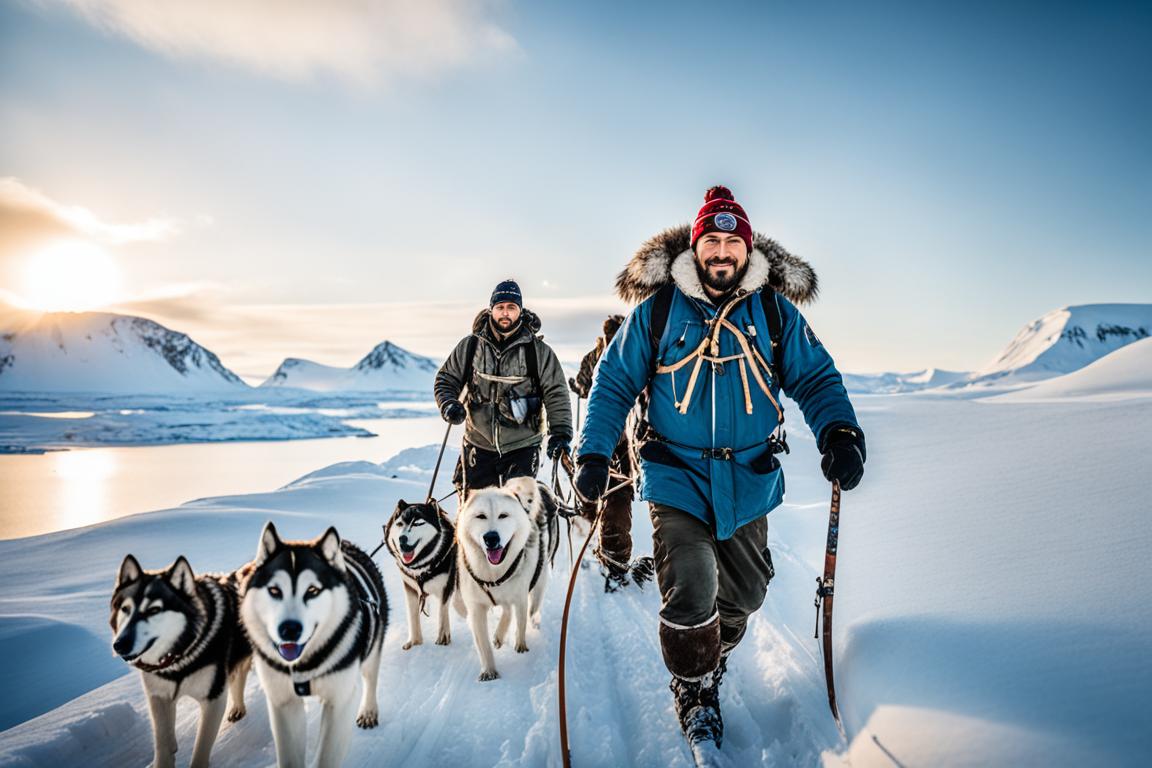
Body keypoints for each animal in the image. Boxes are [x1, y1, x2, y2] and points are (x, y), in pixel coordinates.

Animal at [109, 552, 252, 768]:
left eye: (154, 610)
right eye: (125, 609)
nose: (119, 644)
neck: (177, 659)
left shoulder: (213, 699)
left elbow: (200, 749)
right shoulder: (158, 697)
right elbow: (162, 744)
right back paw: (237, 708)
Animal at [240, 522, 389, 768]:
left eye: (312, 590)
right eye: (274, 590)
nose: (289, 629)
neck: (303, 666)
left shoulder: (340, 701)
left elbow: (326, 757)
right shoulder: (283, 703)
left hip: (372, 650)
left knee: (371, 679)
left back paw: (369, 710)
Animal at [387, 499, 458, 649]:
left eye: (418, 523)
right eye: (399, 524)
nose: (402, 539)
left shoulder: (446, 586)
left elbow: (443, 611)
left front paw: (443, 637)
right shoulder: (410, 587)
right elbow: (412, 614)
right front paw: (415, 641)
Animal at [456, 476, 559, 681]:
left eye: (503, 515)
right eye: (481, 516)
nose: (491, 538)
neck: (494, 575)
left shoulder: (520, 596)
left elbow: (520, 622)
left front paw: (520, 645)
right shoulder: (476, 608)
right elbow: (484, 644)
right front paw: (489, 670)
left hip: (539, 583)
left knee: (529, 609)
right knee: (506, 609)